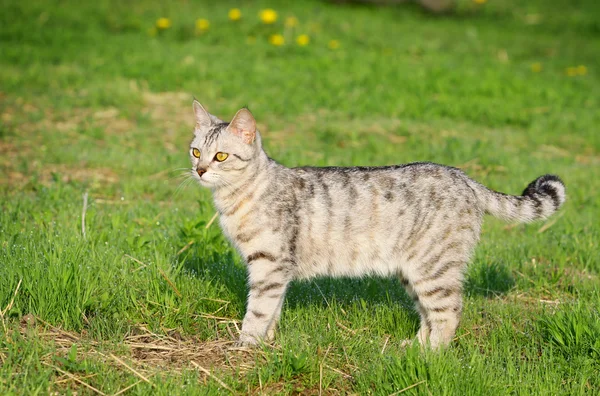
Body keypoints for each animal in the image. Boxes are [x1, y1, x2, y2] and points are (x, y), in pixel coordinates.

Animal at [189, 100, 568, 348]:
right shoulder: (275, 270)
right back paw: (413, 349)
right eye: (195, 152)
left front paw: (245, 347)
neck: (236, 199)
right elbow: (272, 311)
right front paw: (266, 343)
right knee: (429, 315)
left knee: (449, 314)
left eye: (220, 156)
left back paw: (431, 356)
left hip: (434, 269)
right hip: (413, 272)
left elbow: (258, 310)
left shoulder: (270, 264)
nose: (200, 170)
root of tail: (464, 177)